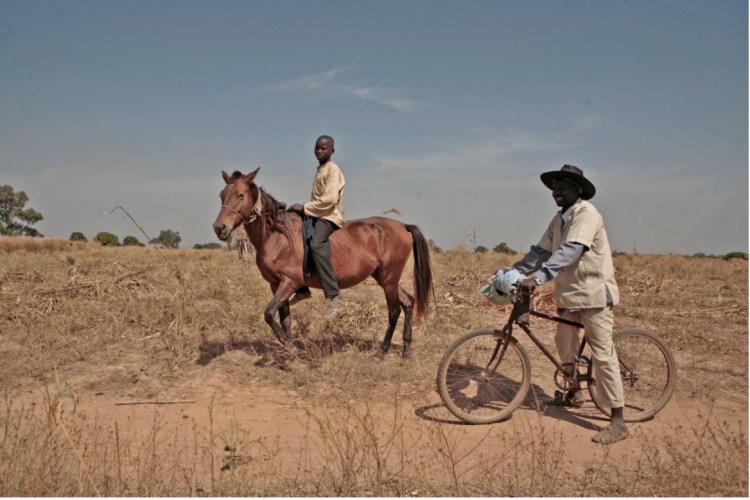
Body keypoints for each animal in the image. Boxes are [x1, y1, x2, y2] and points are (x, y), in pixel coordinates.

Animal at [212, 167, 433, 360]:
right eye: (222, 195)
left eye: (241, 195)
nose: (219, 228)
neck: (277, 235)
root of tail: (402, 226)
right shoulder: (275, 285)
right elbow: (284, 319)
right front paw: (287, 353)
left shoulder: (289, 282)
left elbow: (269, 314)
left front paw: (293, 348)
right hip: (384, 277)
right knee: (408, 302)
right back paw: (406, 349)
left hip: (389, 278)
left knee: (394, 310)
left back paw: (381, 352)